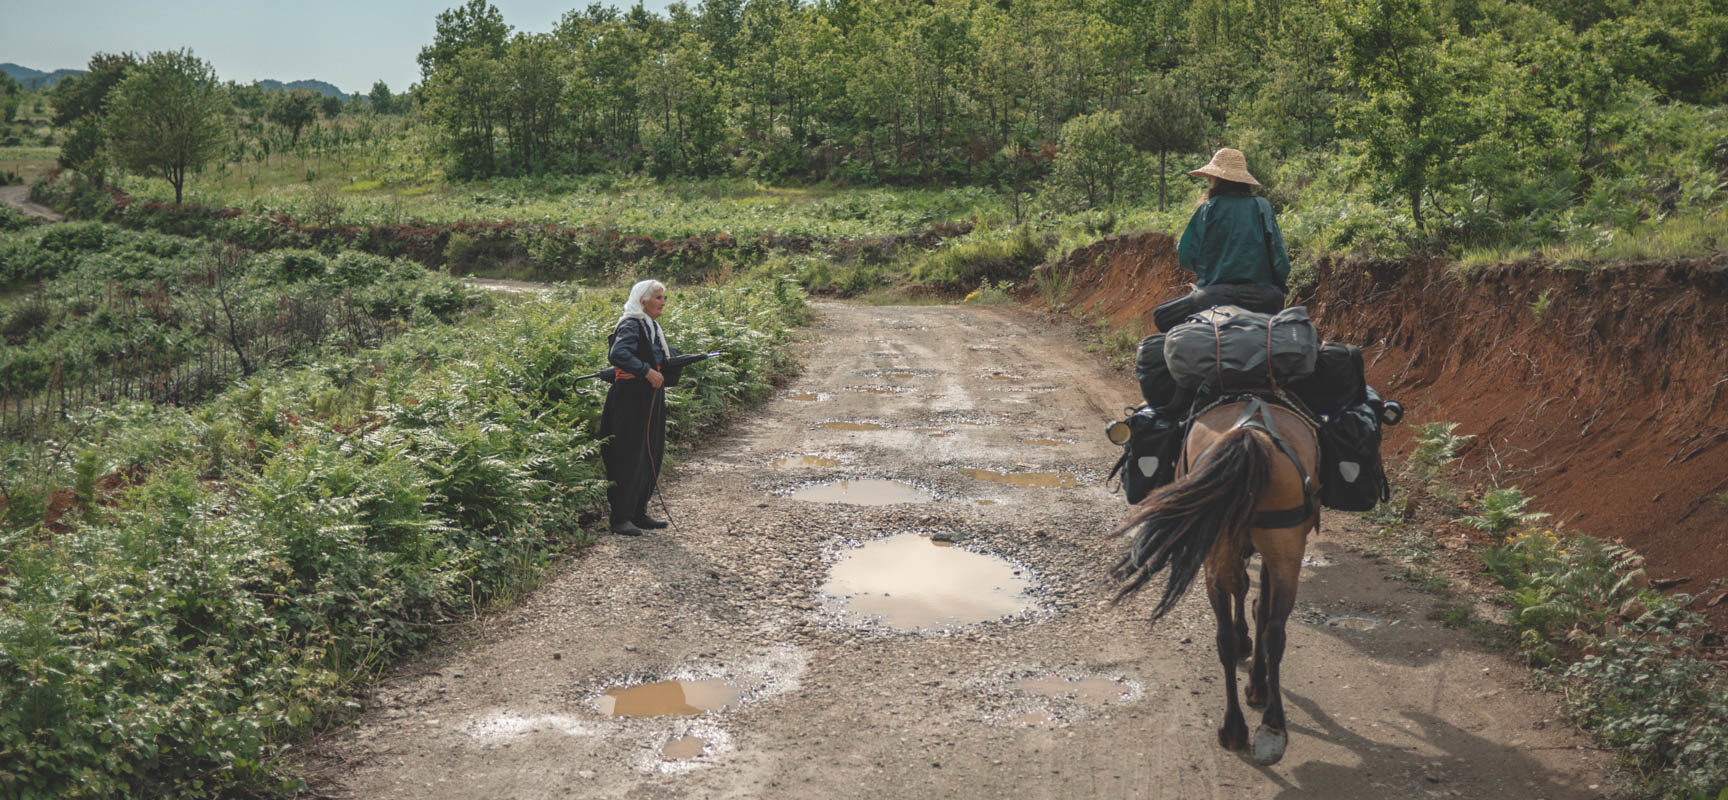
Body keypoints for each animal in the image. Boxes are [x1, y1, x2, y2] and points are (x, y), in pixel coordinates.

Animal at [1105, 397, 1320, 767]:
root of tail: (1252, 436)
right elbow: (1254, 599)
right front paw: (1254, 672)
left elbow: (1247, 594)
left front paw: (1250, 660)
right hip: (1279, 546)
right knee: (1272, 629)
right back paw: (1268, 726)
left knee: (1233, 634)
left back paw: (1241, 727)